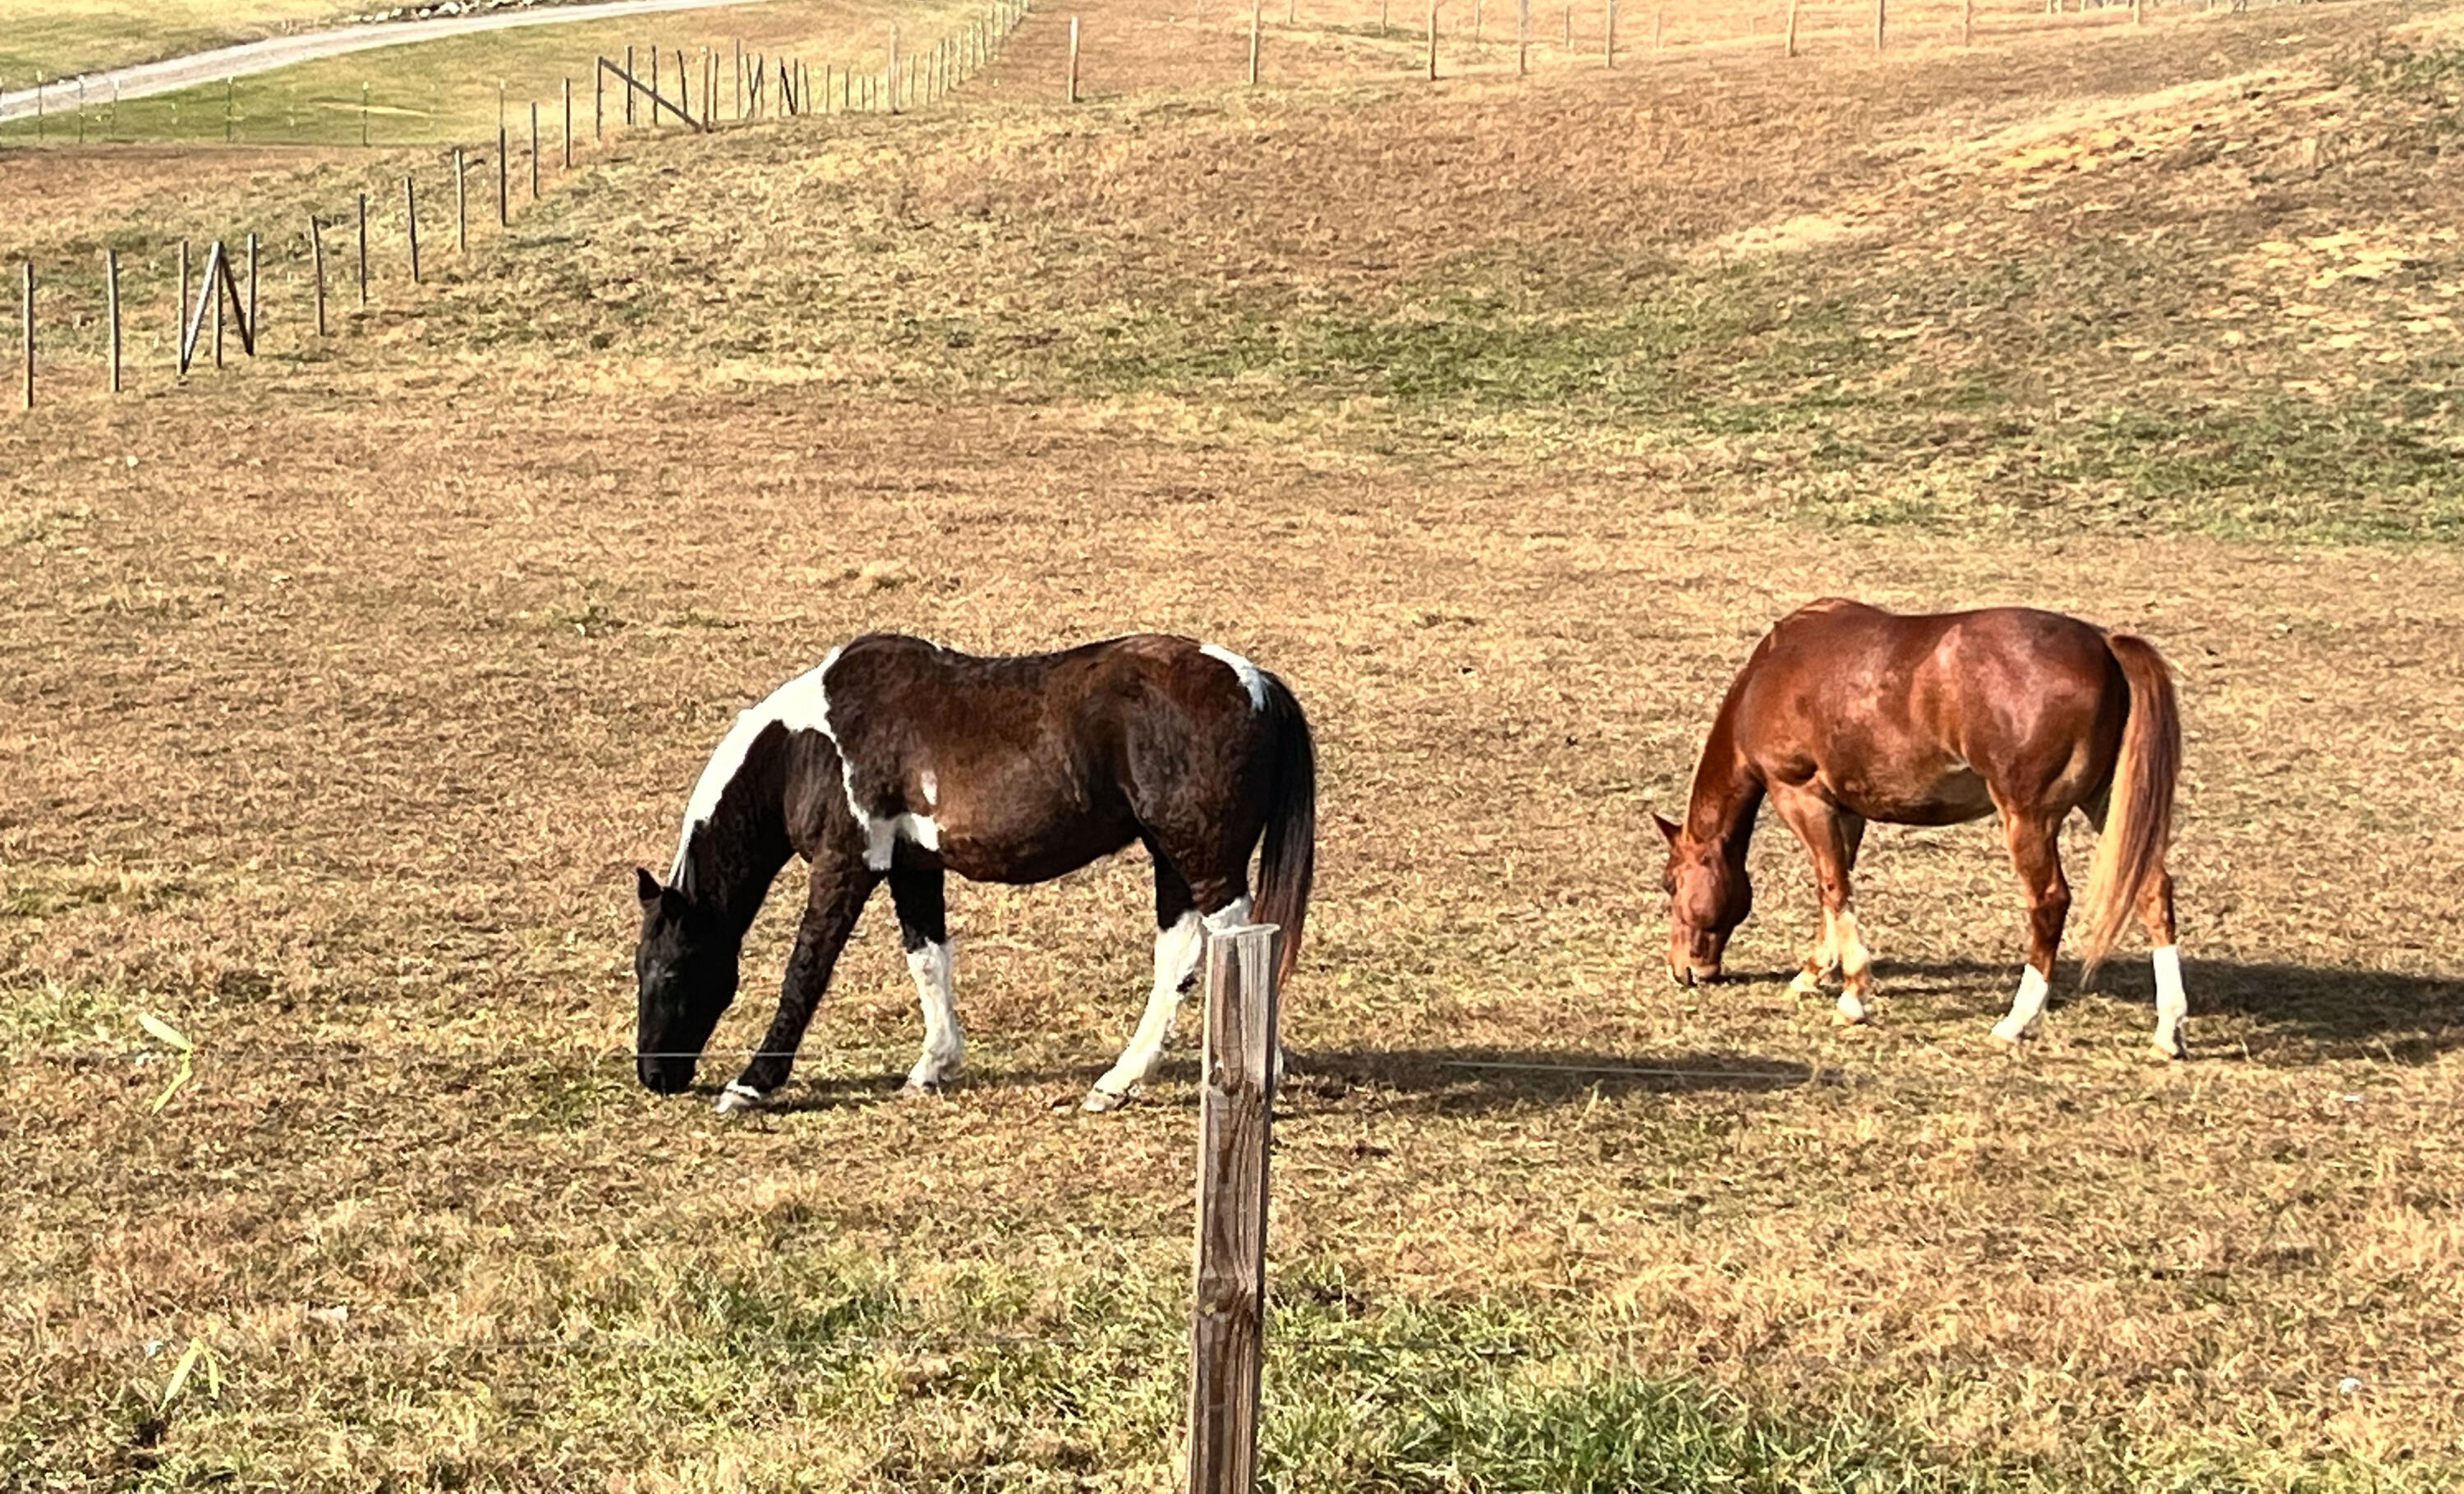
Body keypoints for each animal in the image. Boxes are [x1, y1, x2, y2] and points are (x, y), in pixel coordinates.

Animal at [633, 632, 1316, 1113]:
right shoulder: (912, 868)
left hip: (1205, 864)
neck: (807, 745)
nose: (655, 1074)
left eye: (671, 971)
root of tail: (1256, 682)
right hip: (1173, 861)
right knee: (1178, 958)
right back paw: (1120, 1081)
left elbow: (805, 971)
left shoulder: (845, 864)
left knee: (1231, 948)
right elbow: (928, 960)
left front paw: (752, 1083)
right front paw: (933, 1065)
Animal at [1655, 599, 2187, 1056]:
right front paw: (1813, 973)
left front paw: (1852, 996)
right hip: (2105, 806)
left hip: (2029, 819)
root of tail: (2104, 644)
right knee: (2152, 890)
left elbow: (1833, 887)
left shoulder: (1801, 796)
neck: (1772, 670)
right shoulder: (1846, 810)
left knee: (2050, 902)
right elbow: (1832, 889)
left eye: (1670, 884)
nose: (1684, 971)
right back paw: (2168, 1029)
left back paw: (2016, 1020)